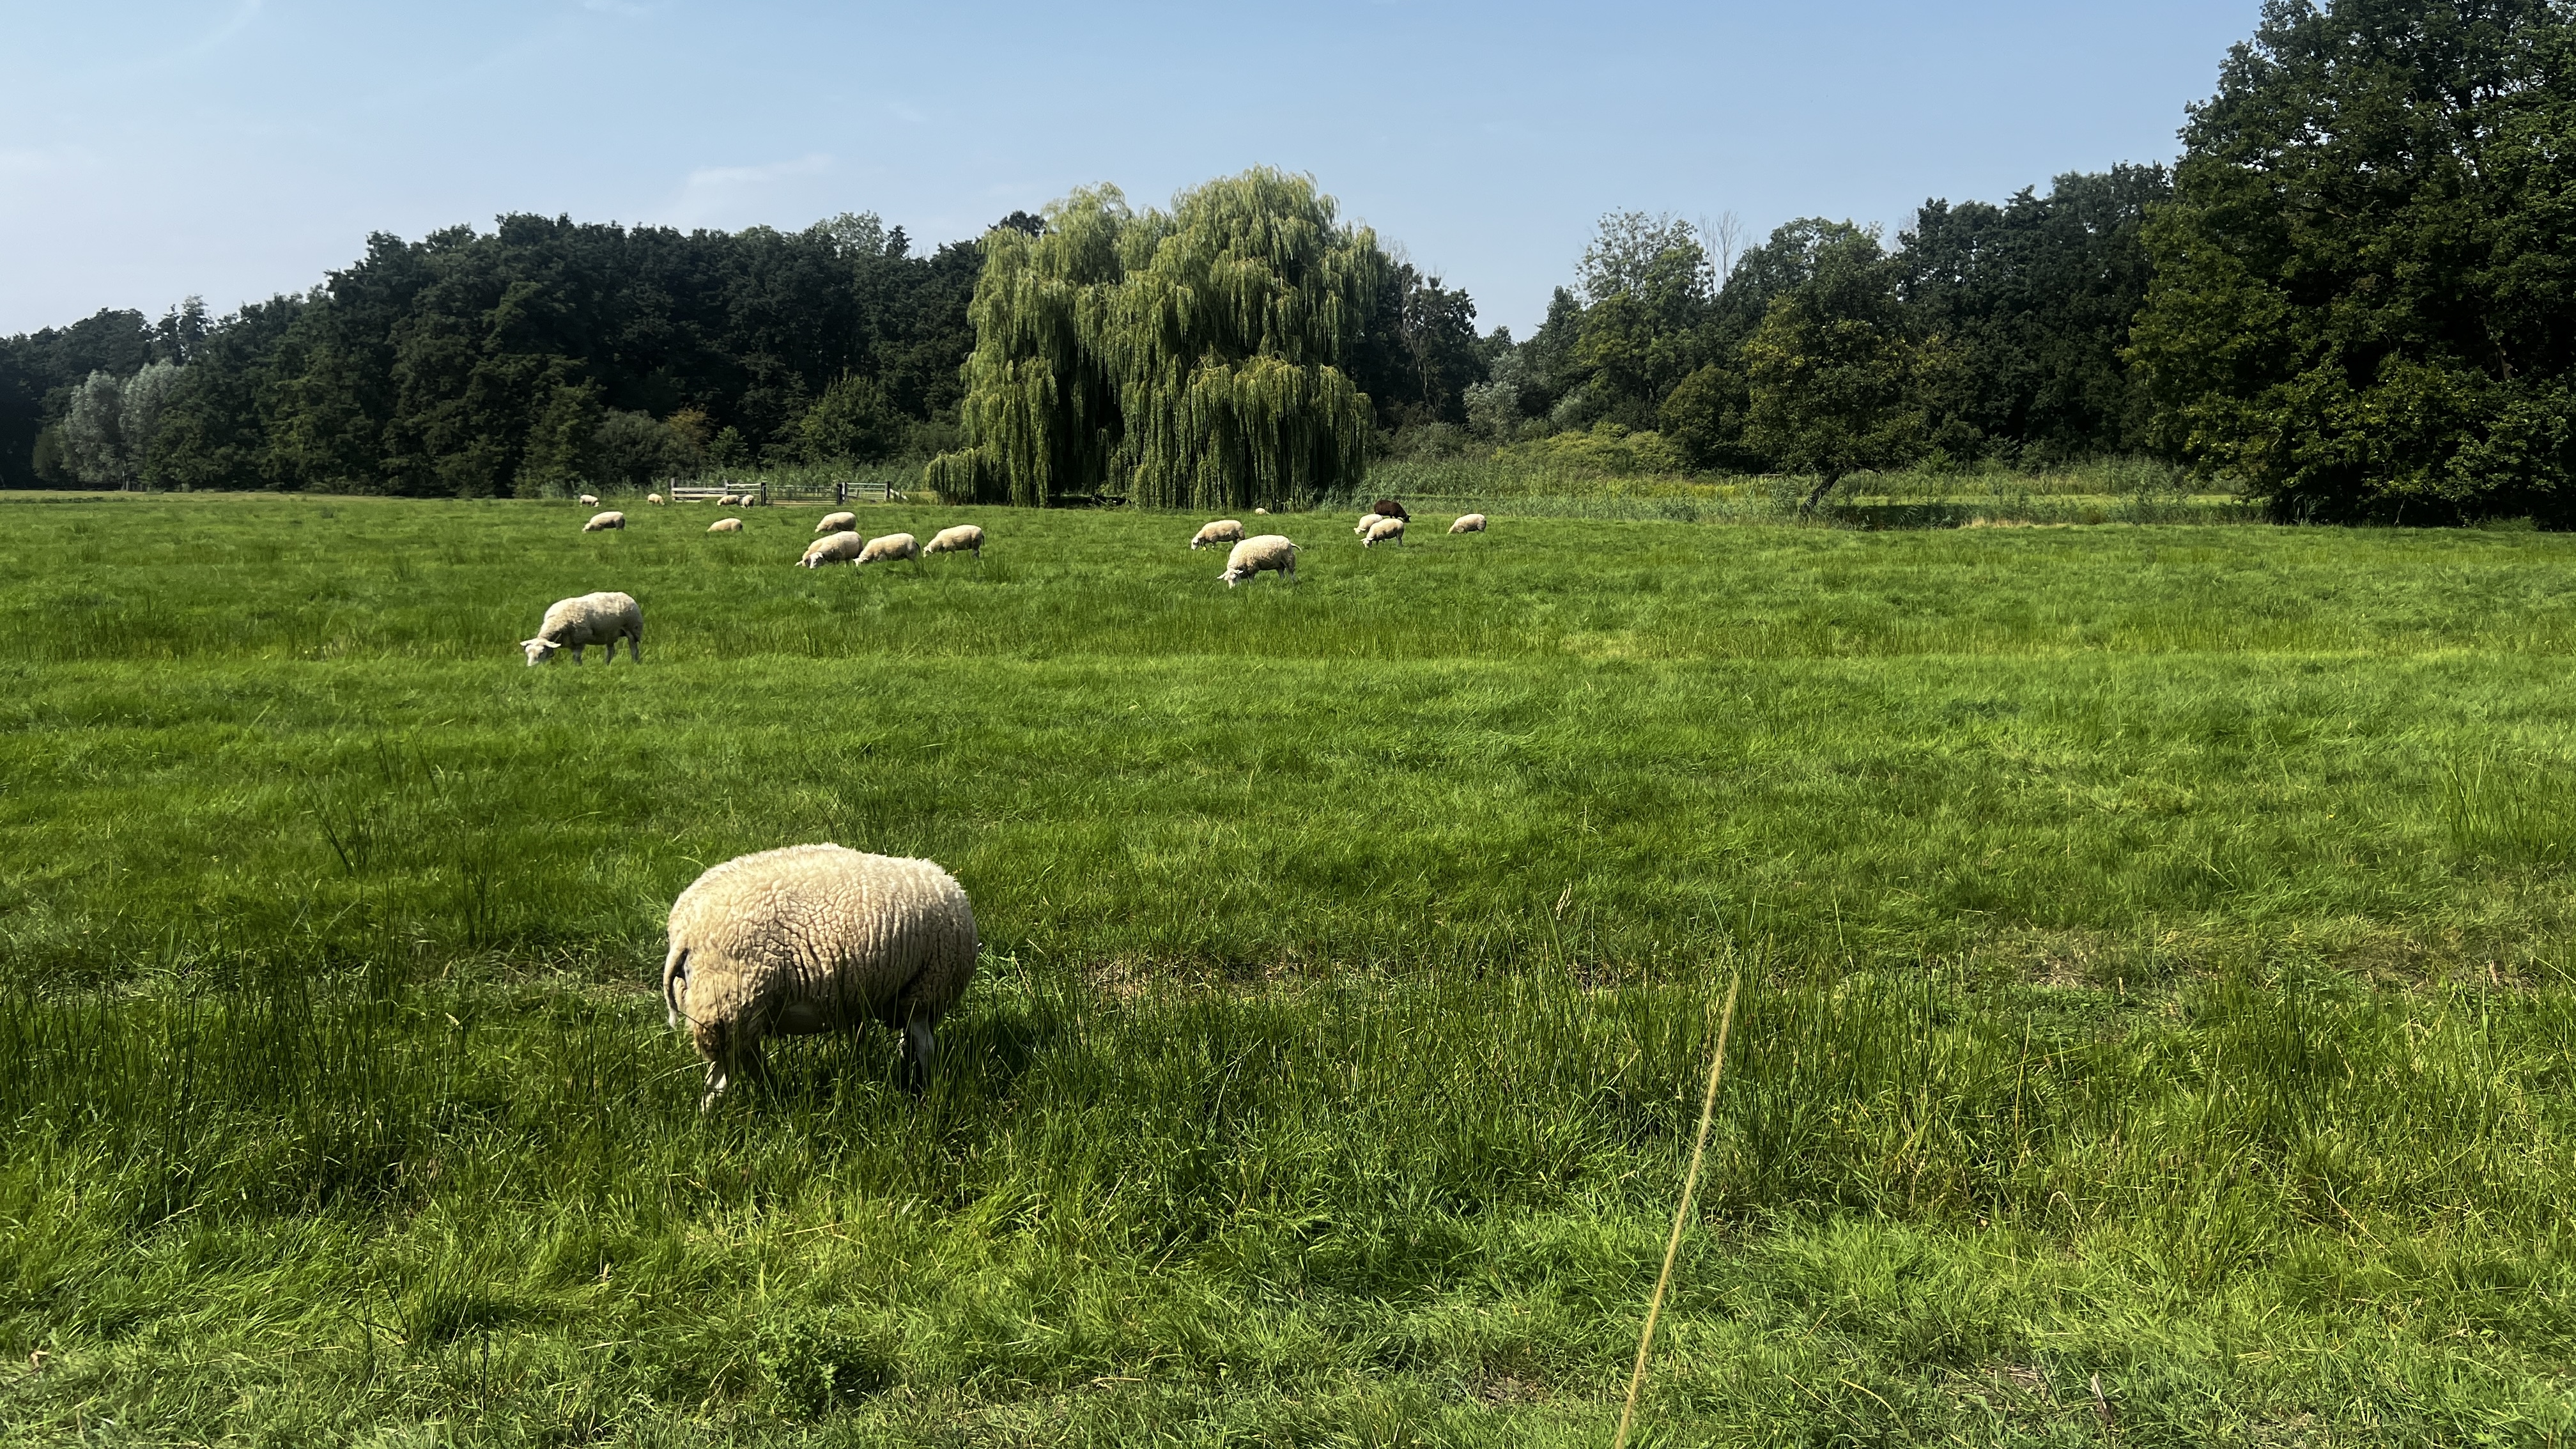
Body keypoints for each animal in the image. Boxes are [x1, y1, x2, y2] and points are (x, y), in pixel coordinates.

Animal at [521, 591, 642, 666]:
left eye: (541, 653)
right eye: (527, 653)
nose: (531, 668)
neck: (557, 622)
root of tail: (625, 595)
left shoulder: (580, 640)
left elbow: (576, 658)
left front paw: (578, 668)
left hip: (633, 629)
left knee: (634, 649)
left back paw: (635, 663)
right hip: (610, 633)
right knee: (611, 651)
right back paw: (607, 665)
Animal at [663, 843, 978, 1108]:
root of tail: (685, 931)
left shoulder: (860, 998)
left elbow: (866, 1039)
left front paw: (864, 1070)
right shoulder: (923, 993)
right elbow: (925, 1047)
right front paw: (929, 1087)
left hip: (721, 1011)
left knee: (725, 1074)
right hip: (731, 1004)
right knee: (731, 1071)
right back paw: (771, 1094)